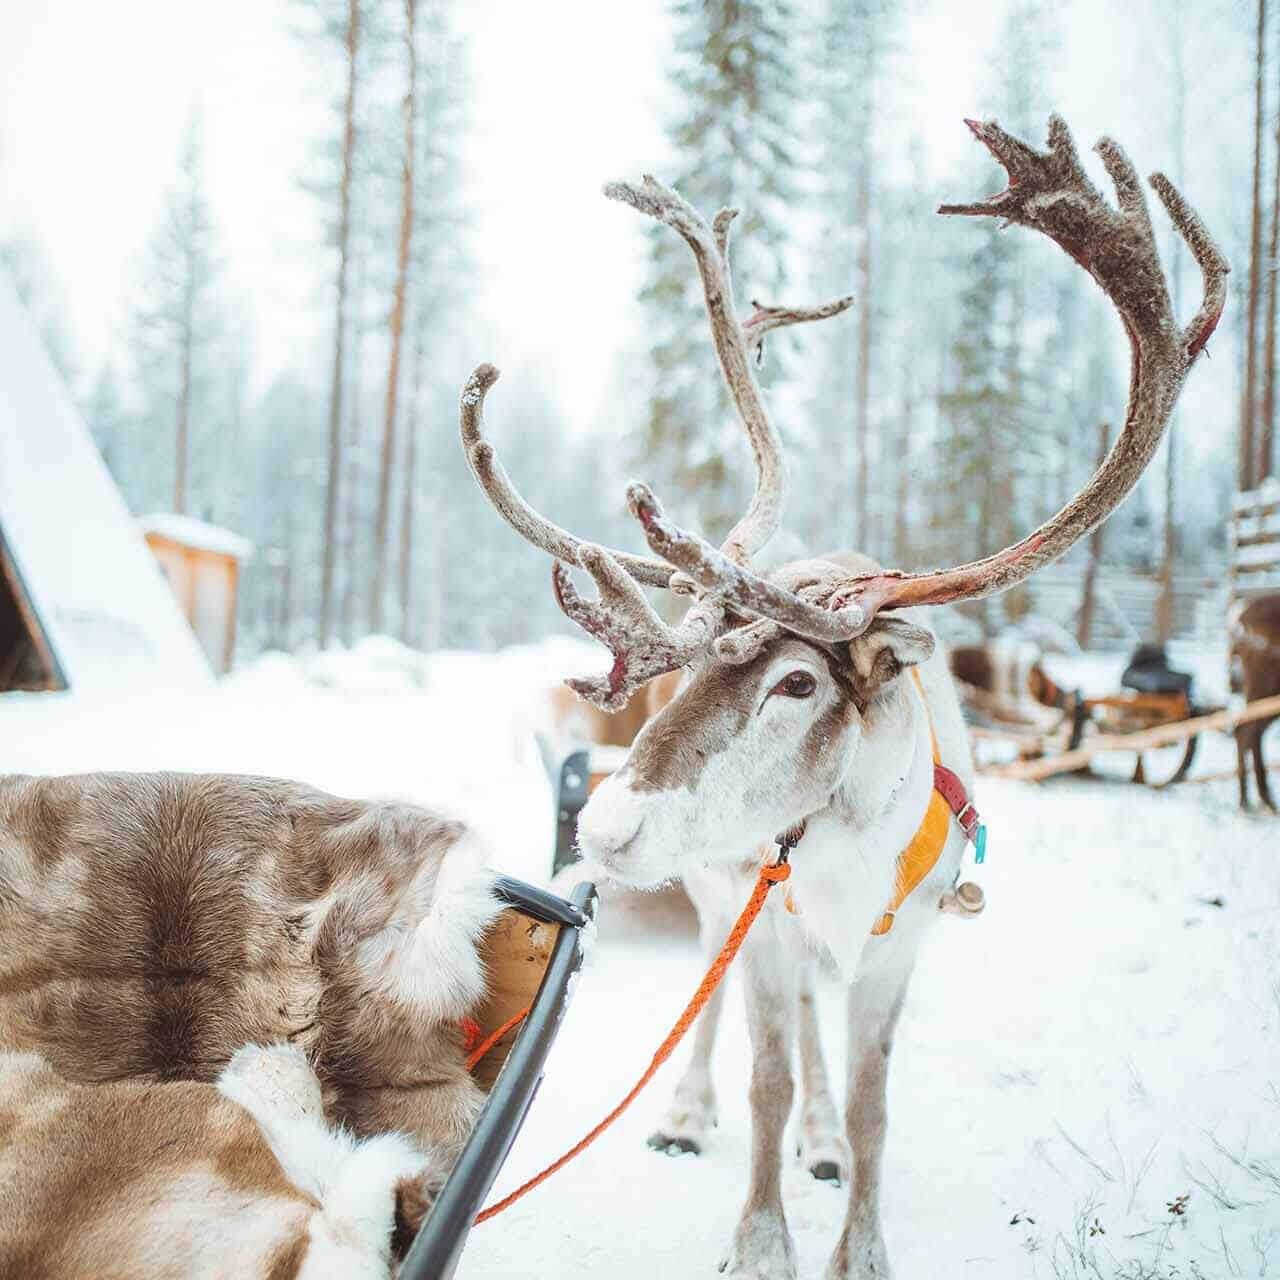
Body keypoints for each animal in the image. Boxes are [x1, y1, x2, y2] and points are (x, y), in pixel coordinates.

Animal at [460, 116, 1226, 1279]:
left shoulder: (896, 947)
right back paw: (685, 1112)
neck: (840, 846)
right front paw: (759, 1239)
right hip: (720, 898)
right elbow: (764, 1078)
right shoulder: (762, 921)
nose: (604, 824)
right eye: (687, 670)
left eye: (796, 679)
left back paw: (816, 1142)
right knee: (713, 993)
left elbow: (870, 1104)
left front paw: (855, 1234)